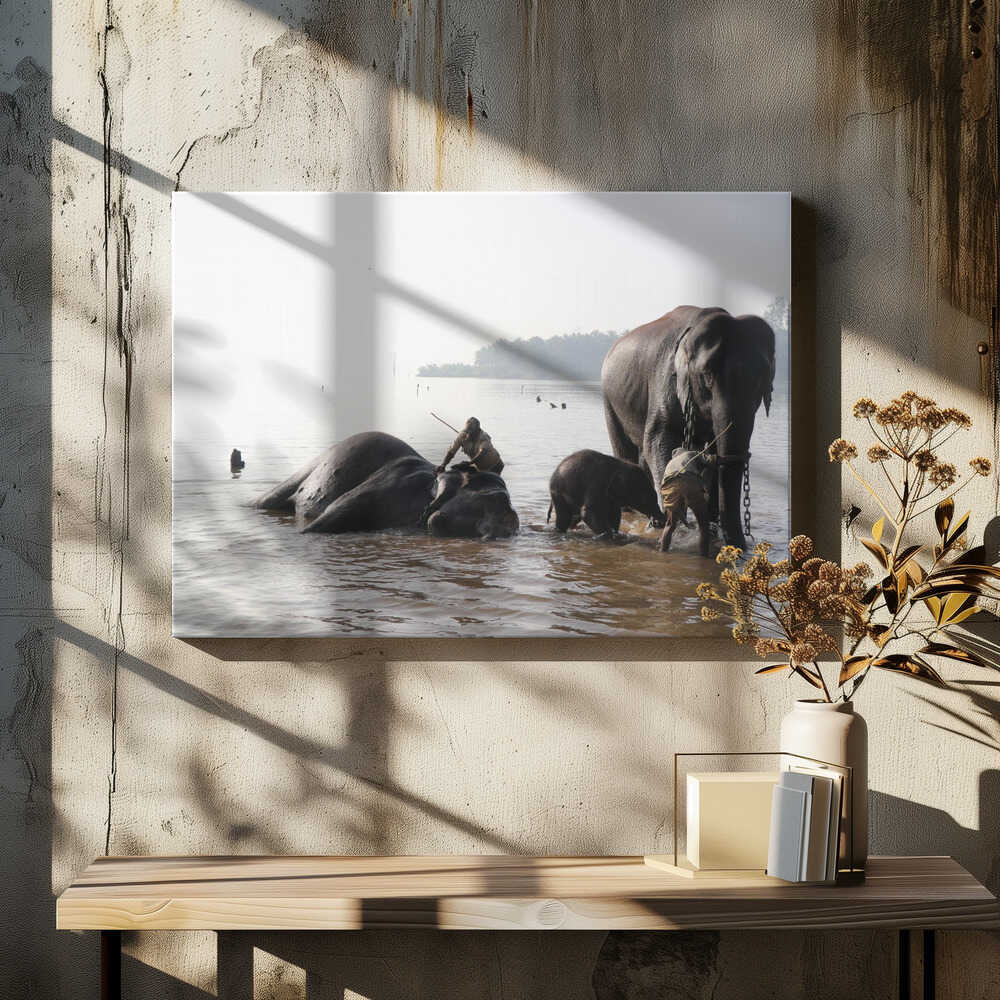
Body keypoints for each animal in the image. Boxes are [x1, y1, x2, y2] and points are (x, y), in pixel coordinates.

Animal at [600, 305, 775, 549]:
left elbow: (712, 452)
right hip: (610, 399)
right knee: (626, 449)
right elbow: (657, 440)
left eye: (762, 379)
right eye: (707, 374)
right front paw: (676, 518)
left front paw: (708, 525)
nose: (744, 546)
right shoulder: (665, 380)